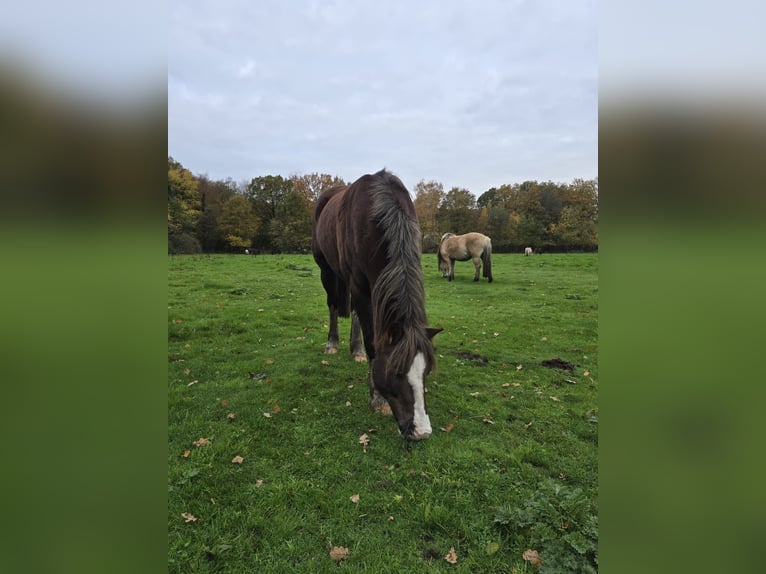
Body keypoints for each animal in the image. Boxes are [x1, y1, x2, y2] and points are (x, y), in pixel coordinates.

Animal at [312, 169, 442, 440]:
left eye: (425, 371)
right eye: (396, 372)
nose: (421, 431)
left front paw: (360, 352)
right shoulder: (360, 286)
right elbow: (373, 341)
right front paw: (377, 398)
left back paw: (356, 349)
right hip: (326, 270)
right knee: (332, 305)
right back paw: (332, 343)